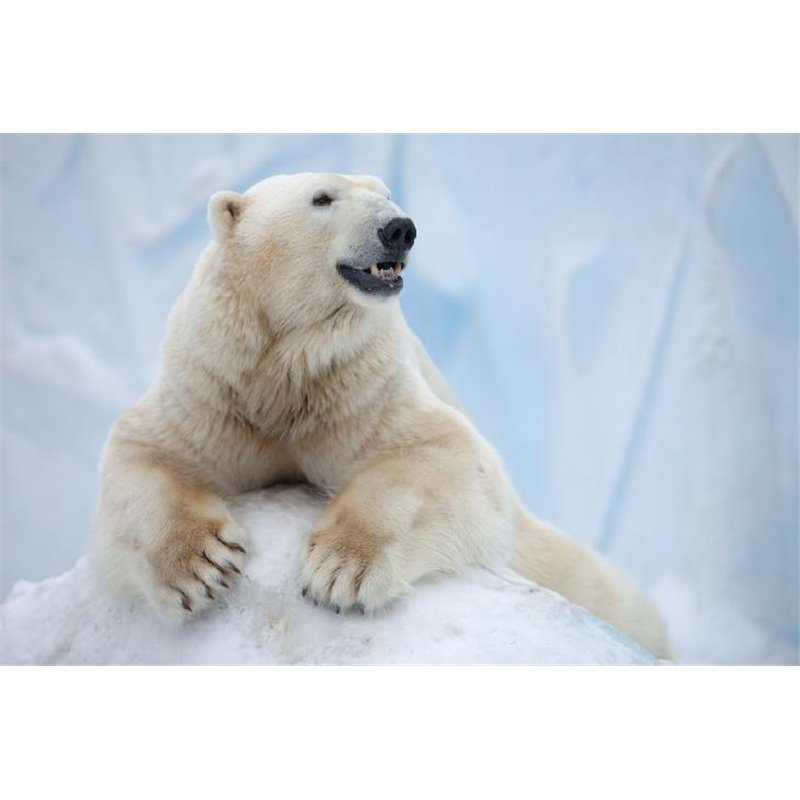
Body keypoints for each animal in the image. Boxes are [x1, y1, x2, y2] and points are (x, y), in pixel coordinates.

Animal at [92, 172, 669, 658]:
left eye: (386, 192)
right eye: (322, 198)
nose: (400, 228)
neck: (288, 366)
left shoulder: (361, 386)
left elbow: (436, 451)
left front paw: (340, 569)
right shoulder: (214, 386)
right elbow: (144, 450)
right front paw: (200, 567)